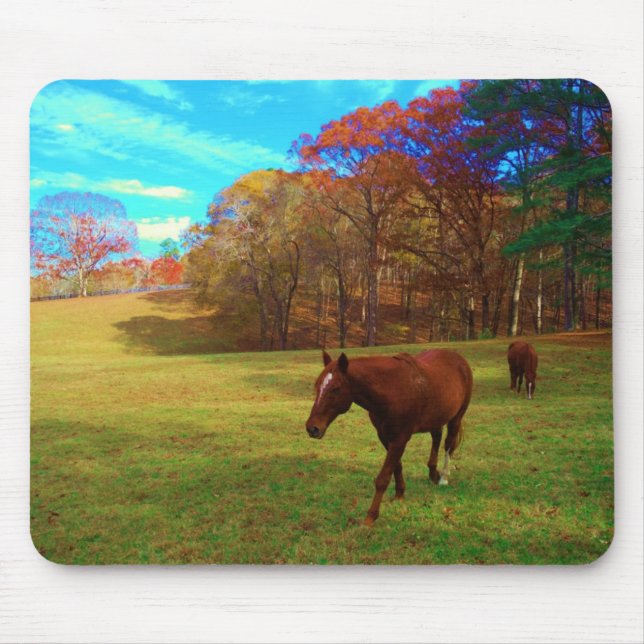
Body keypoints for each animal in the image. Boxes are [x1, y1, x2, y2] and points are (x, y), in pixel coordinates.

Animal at [305, 349, 473, 526]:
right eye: (317, 385)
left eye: (336, 388)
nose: (312, 428)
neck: (392, 389)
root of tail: (458, 358)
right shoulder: (385, 436)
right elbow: (396, 467)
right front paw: (399, 494)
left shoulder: (400, 438)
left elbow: (383, 478)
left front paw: (371, 516)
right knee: (436, 437)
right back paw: (433, 473)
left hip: (456, 417)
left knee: (449, 444)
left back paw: (443, 478)